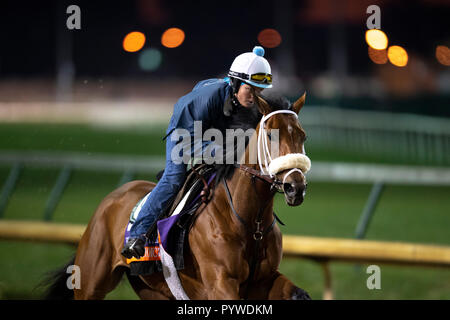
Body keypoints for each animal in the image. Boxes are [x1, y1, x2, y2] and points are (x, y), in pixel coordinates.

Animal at [44, 92, 312, 300]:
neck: (248, 222)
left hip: (152, 288)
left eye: (303, 135)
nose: (295, 187)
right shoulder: (220, 283)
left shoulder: (265, 279)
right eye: (271, 135)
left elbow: (299, 294)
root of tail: (112, 197)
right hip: (91, 282)